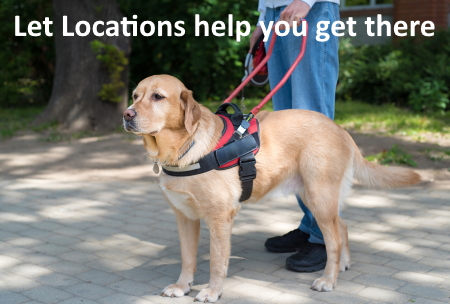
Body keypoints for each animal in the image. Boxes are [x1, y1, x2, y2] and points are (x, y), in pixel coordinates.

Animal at [121, 75, 420, 302]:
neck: (185, 148)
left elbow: (217, 261)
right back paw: (344, 264)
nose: (126, 113)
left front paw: (212, 291)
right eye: (135, 95)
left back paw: (328, 279)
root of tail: (340, 128)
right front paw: (182, 286)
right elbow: (187, 258)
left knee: (332, 240)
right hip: (314, 196)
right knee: (342, 226)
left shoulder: (219, 217)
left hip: (319, 197)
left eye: (158, 97)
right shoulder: (185, 217)